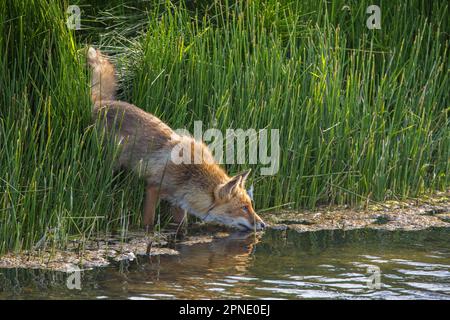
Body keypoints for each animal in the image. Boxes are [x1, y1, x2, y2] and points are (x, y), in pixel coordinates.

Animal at [86, 47, 266, 231]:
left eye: (251, 205)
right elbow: (148, 221)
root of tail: (102, 103)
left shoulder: (179, 203)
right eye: (243, 208)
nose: (264, 224)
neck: (190, 175)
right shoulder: (154, 187)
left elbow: (181, 226)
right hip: (110, 163)